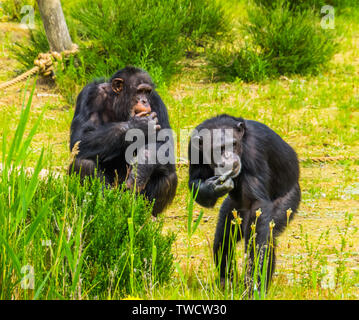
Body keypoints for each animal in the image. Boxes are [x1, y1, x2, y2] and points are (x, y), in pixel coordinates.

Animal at [69, 65, 177, 216]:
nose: (145, 101)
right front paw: (137, 125)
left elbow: (165, 145)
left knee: (168, 175)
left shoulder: (156, 100)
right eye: (139, 91)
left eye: (147, 92)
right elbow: (79, 138)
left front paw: (142, 168)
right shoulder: (89, 95)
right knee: (83, 163)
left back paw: (146, 216)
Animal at [190, 115, 302, 296]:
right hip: (233, 210)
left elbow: (257, 204)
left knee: (267, 234)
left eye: (233, 144)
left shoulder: (254, 150)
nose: (229, 157)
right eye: (219, 148)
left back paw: (257, 287)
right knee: (224, 239)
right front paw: (214, 186)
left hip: (289, 199)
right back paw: (226, 283)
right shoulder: (192, 148)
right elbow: (195, 181)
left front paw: (254, 283)